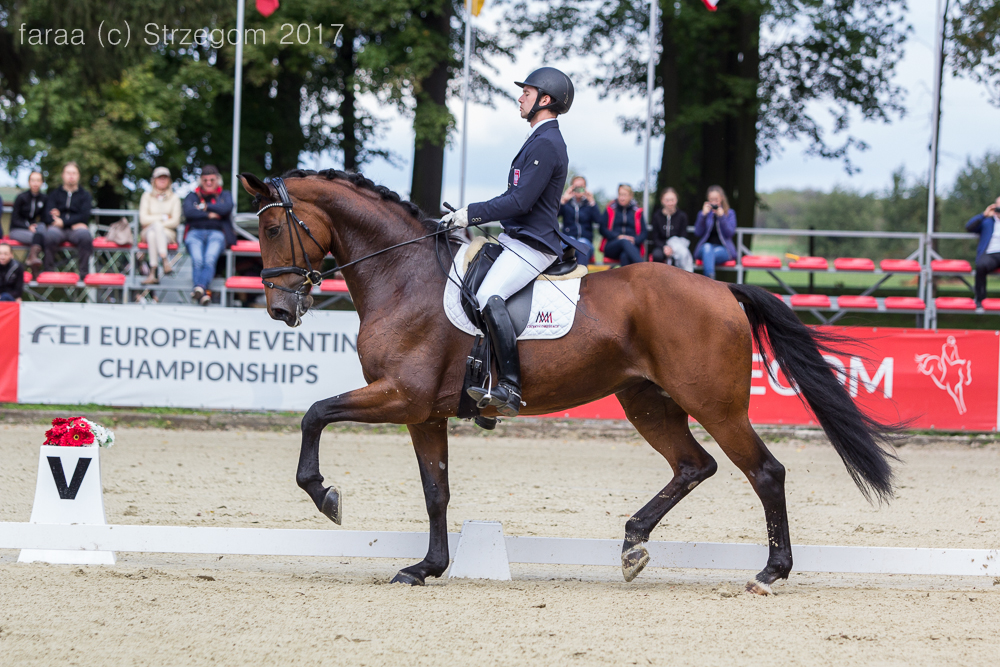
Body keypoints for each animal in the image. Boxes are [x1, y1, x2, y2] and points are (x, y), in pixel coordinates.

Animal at [238, 169, 899, 594]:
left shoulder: (401, 396)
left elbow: (315, 413)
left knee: (764, 471)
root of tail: (720, 288)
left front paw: (324, 494)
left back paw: (768, 573)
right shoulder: (424, 413)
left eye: (270, 230)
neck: (402, 276)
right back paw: (632, 544)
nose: (279, 308)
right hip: (647, 402)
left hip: (715, 404)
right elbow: (436, 492)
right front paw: (425, 568)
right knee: (694, 465)